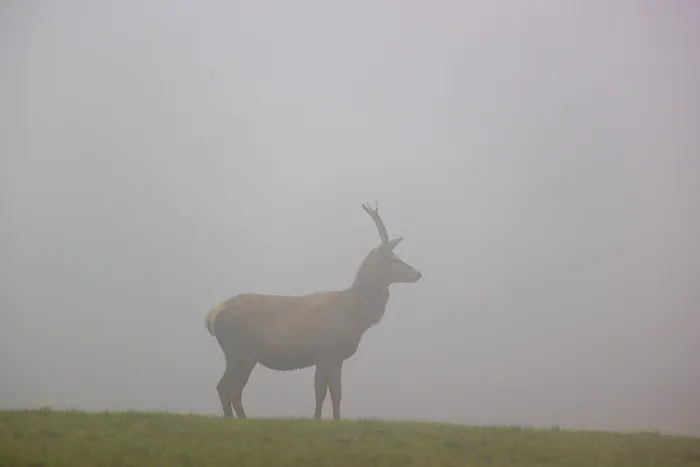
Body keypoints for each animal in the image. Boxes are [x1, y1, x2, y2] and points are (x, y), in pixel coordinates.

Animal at [204, 202, 422, 420]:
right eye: (393, 259)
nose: (418, 273)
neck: (354, 315)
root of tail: (211, 316)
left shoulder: (331, 357)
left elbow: (331, 393)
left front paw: (329, 420)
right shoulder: (328, 351)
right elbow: (326, 392)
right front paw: (322, 420)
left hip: (240, 354)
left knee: (229, 388)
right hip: (240, 351)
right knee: (227, 387)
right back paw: (239, 419)